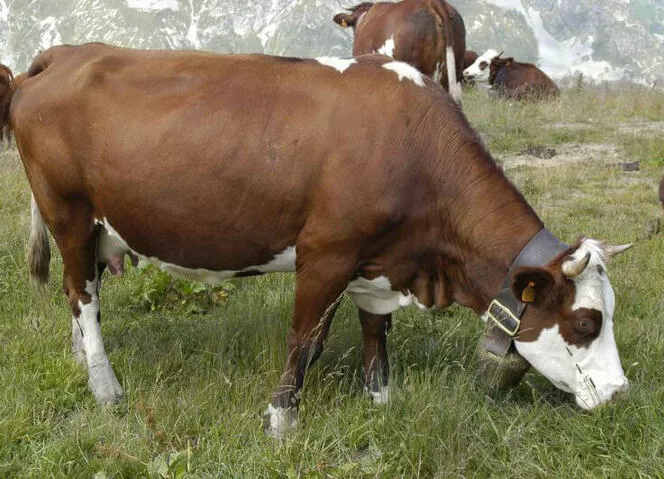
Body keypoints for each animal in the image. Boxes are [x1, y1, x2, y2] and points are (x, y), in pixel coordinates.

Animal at [2, 44, 631, 440]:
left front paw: (381, 399)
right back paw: (106, 387)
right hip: (69, 213)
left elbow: (376, 331)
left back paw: (83, 359)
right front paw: (281, 422)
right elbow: (305, 341)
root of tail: (64, 54)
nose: (621, 394)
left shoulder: (378, 263)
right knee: (81, 295)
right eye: (586, 322)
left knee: (83, 297)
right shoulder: (327, 253)